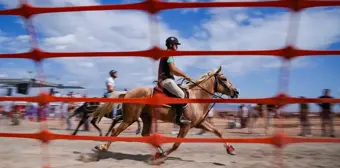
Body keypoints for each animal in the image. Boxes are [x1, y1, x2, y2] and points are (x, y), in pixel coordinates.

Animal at [91, 66, 238, 162]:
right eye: (224, 79)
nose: (236, 92)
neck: (196, 97)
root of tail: (127, 93)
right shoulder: (186, 126)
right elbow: (176, 144)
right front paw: (164, 155)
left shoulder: (199, 123)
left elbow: (218, 131)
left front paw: (230, 149)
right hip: (130, 118)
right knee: (116, 130)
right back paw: (102, 146)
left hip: (146, 117)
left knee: (145, 134)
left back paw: (159, 151)